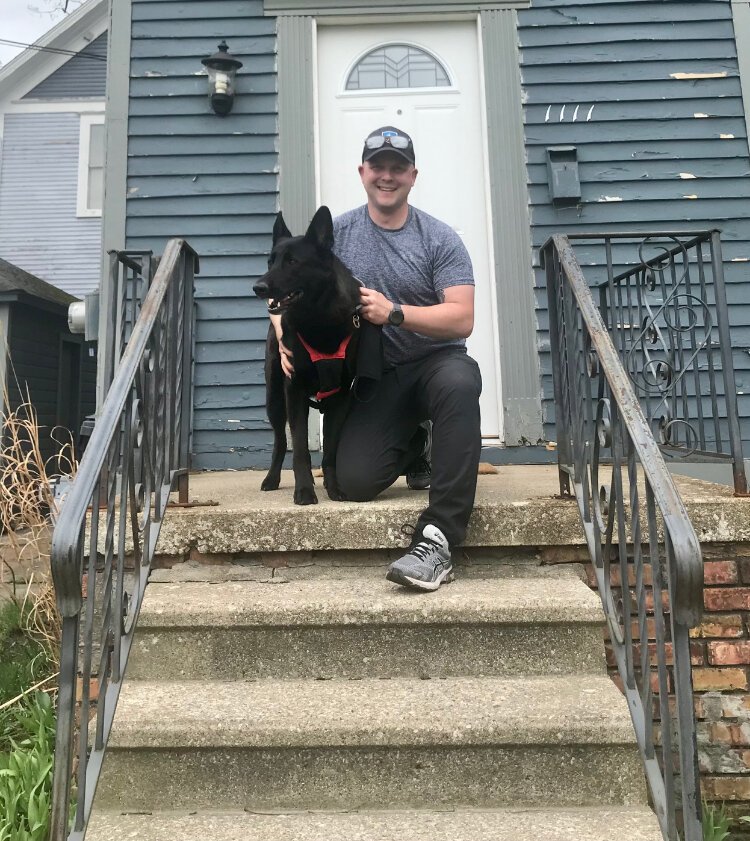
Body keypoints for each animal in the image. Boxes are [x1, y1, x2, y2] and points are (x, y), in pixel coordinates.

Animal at [254, 206, 362, 502]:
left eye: (292, 262)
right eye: (270, 262)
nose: (258, 287)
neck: (319, 319)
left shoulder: (342, 396)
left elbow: (332, 451)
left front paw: (334, 488)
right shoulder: (295, 389)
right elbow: (300, 449)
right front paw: (303, 490)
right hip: (274, 399)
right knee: (281, 442)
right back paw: (271, 479)